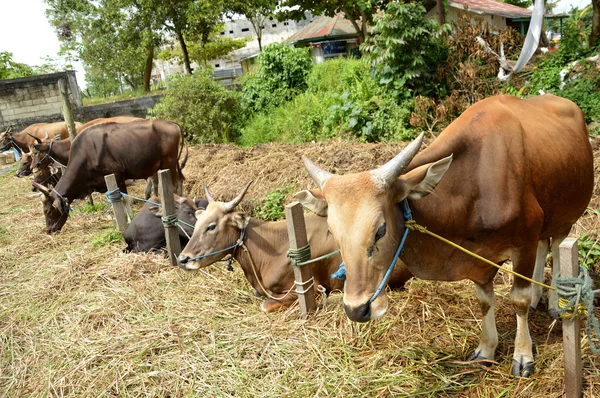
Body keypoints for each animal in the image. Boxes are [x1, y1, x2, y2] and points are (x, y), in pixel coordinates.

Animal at [30, 118, 184, 233]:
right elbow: (113, 200)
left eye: (48, 211)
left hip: (169, 163)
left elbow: (124, 198)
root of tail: (172, 124)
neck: (87, 152)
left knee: (173, 185)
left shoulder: (117, 175)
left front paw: (129, 219)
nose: (49, 230)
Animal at [292, 94, 592, 376]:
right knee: (545, 244)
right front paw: (486, 349)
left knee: (555, 245)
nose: (356, 310)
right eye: (332, 231)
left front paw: (522, 356)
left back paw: (554, 303)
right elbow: (485, 302)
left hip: (566, 217)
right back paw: (540, 295)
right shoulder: (479, 259)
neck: (474, 183)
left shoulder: (523, 243)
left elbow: (519, 300)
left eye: (380, 230)